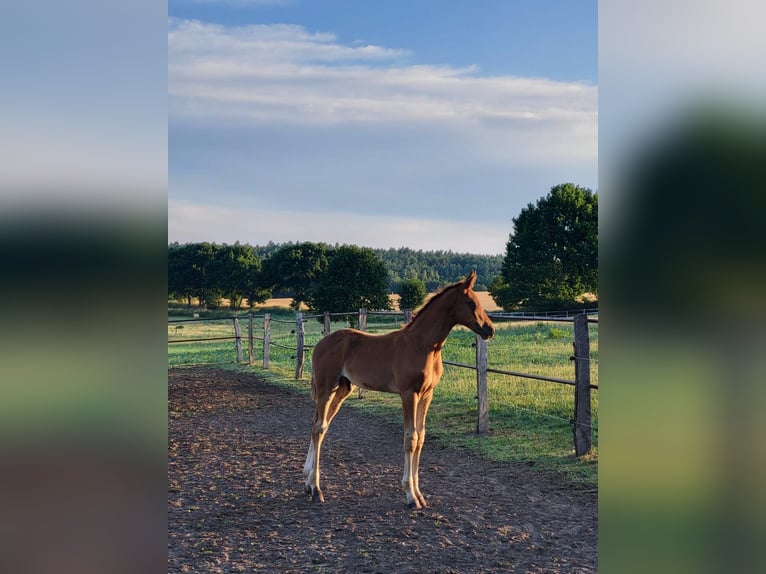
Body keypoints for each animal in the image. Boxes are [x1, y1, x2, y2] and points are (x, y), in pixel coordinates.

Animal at [303, 271, 495, 509]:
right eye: (472, 303)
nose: (490, 329)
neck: (423, 345)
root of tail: (320, 344)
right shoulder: (408, 393)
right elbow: (410, 438)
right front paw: (410, 496)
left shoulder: (427, 394)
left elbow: (421, 437)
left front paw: (420, 494)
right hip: (325, 387)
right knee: (319, 428)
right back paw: (316, 488)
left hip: (342, 389)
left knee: (319, 425)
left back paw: (307, 482)